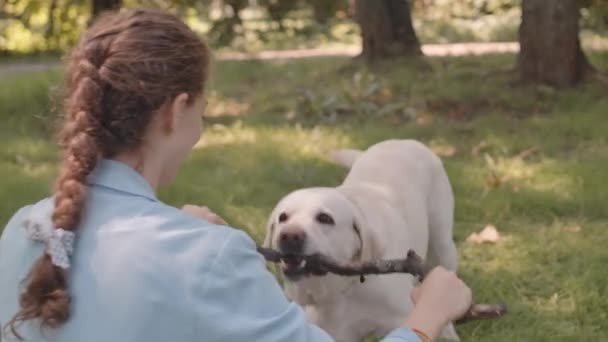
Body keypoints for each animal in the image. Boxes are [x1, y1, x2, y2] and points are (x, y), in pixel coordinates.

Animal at [264, 140, 458, 342]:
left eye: (325, 218)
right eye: (283, 217)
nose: (288, 236)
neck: (340, 291)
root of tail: (403, 141)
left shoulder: (400, 318)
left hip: (442, 244)